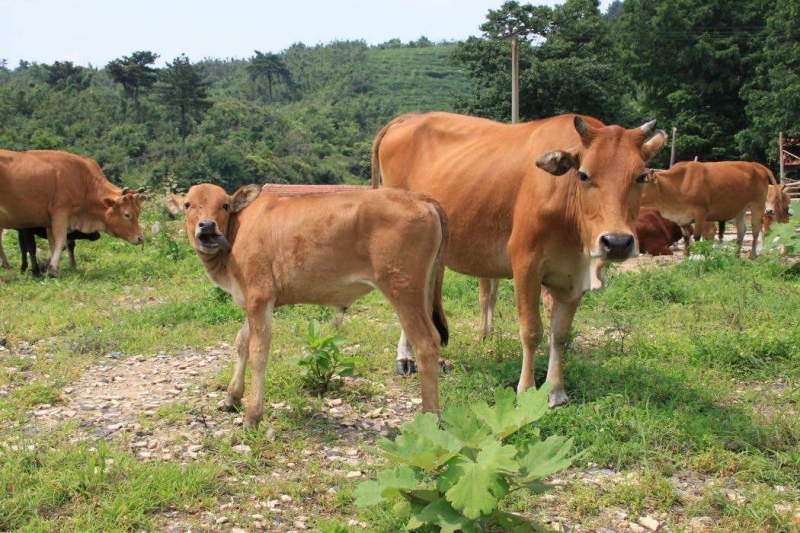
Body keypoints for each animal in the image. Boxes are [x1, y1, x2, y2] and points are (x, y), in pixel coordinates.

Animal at [177, 183, 446, 428]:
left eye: (224, 204)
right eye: (188, 204)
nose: (207, 225)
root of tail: (420, 197)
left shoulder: (259, 294)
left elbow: (258, 351)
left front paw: (253, 416)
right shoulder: (254, 298)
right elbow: (241, 342)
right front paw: (232, 398)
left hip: (401, 286)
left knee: (426, 343)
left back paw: (431, 419)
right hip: (422, 287)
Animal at [376, 111, 668, 404]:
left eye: (641, 176)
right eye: (584, 175)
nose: (617, 242)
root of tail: (410, 117)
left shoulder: (573, 277)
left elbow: (559, 334)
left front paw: (555, 390)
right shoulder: (526, 265)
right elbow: (531, 331)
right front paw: (527, 389)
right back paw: (405, 358)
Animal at [644, 160, 776, 258]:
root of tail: (755, 164)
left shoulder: (701, 211)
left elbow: (697, 236)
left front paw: (696, 257)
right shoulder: (682, 217)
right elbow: (686, 237)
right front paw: (686, 256)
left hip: (757, 205)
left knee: (756, 229)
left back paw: (753, 255)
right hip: (741, 208)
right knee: (742, 230)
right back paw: (736, 255)